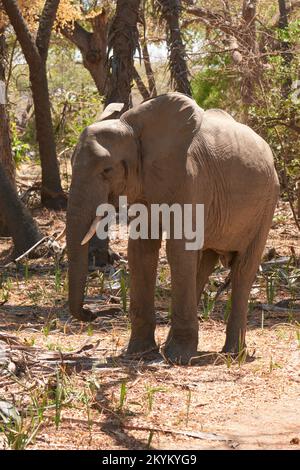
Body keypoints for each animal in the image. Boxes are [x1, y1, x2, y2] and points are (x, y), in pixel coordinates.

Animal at [67, 91, 280, 364]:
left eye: (107, 170)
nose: (92, 313)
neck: (133, 127)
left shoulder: (191, 177)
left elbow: (178, 249)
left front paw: (178, 358)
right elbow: (141, 250)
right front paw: (141, 353)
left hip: (267, 202)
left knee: (243, 268)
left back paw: (233, 354)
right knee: (204, 262)